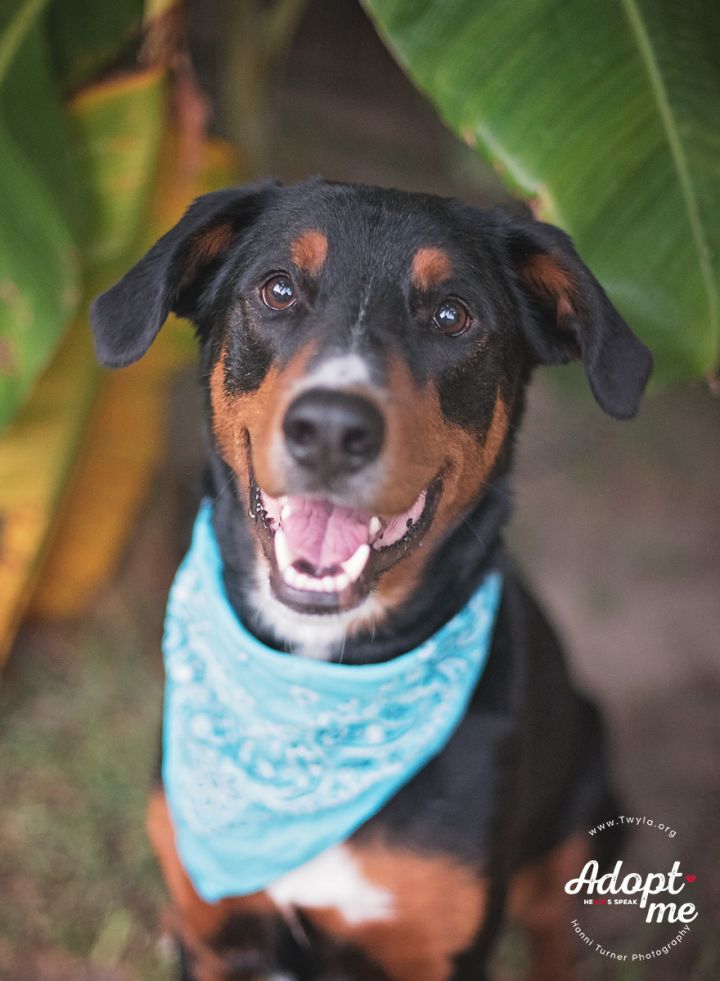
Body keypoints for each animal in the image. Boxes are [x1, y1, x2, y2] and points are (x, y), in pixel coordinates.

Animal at [90, 178, 652, 980]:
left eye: (452, 315)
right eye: (278, 289)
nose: (330, 428)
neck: (315, 682)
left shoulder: (440, 950)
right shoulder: (214, 933)